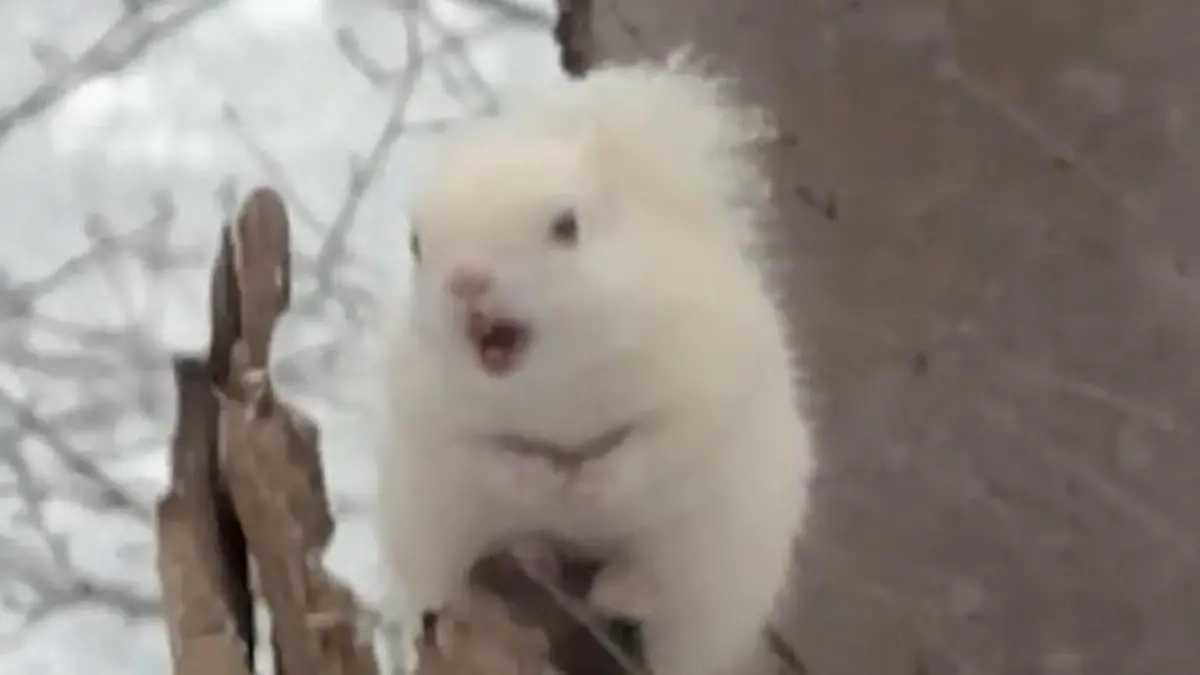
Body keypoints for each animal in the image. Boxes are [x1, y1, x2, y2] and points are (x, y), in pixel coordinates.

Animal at [378, 50, 815, 675]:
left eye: (567, 227)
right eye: (416, 244)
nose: (466, 282)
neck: (555, 385)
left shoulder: (706, 383)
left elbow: (661, 446)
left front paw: (589, 484)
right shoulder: (430, 413)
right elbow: (482, 455)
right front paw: (541, 482)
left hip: (714, 566)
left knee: (660, 592)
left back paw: (624, 587)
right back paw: (533, 552)